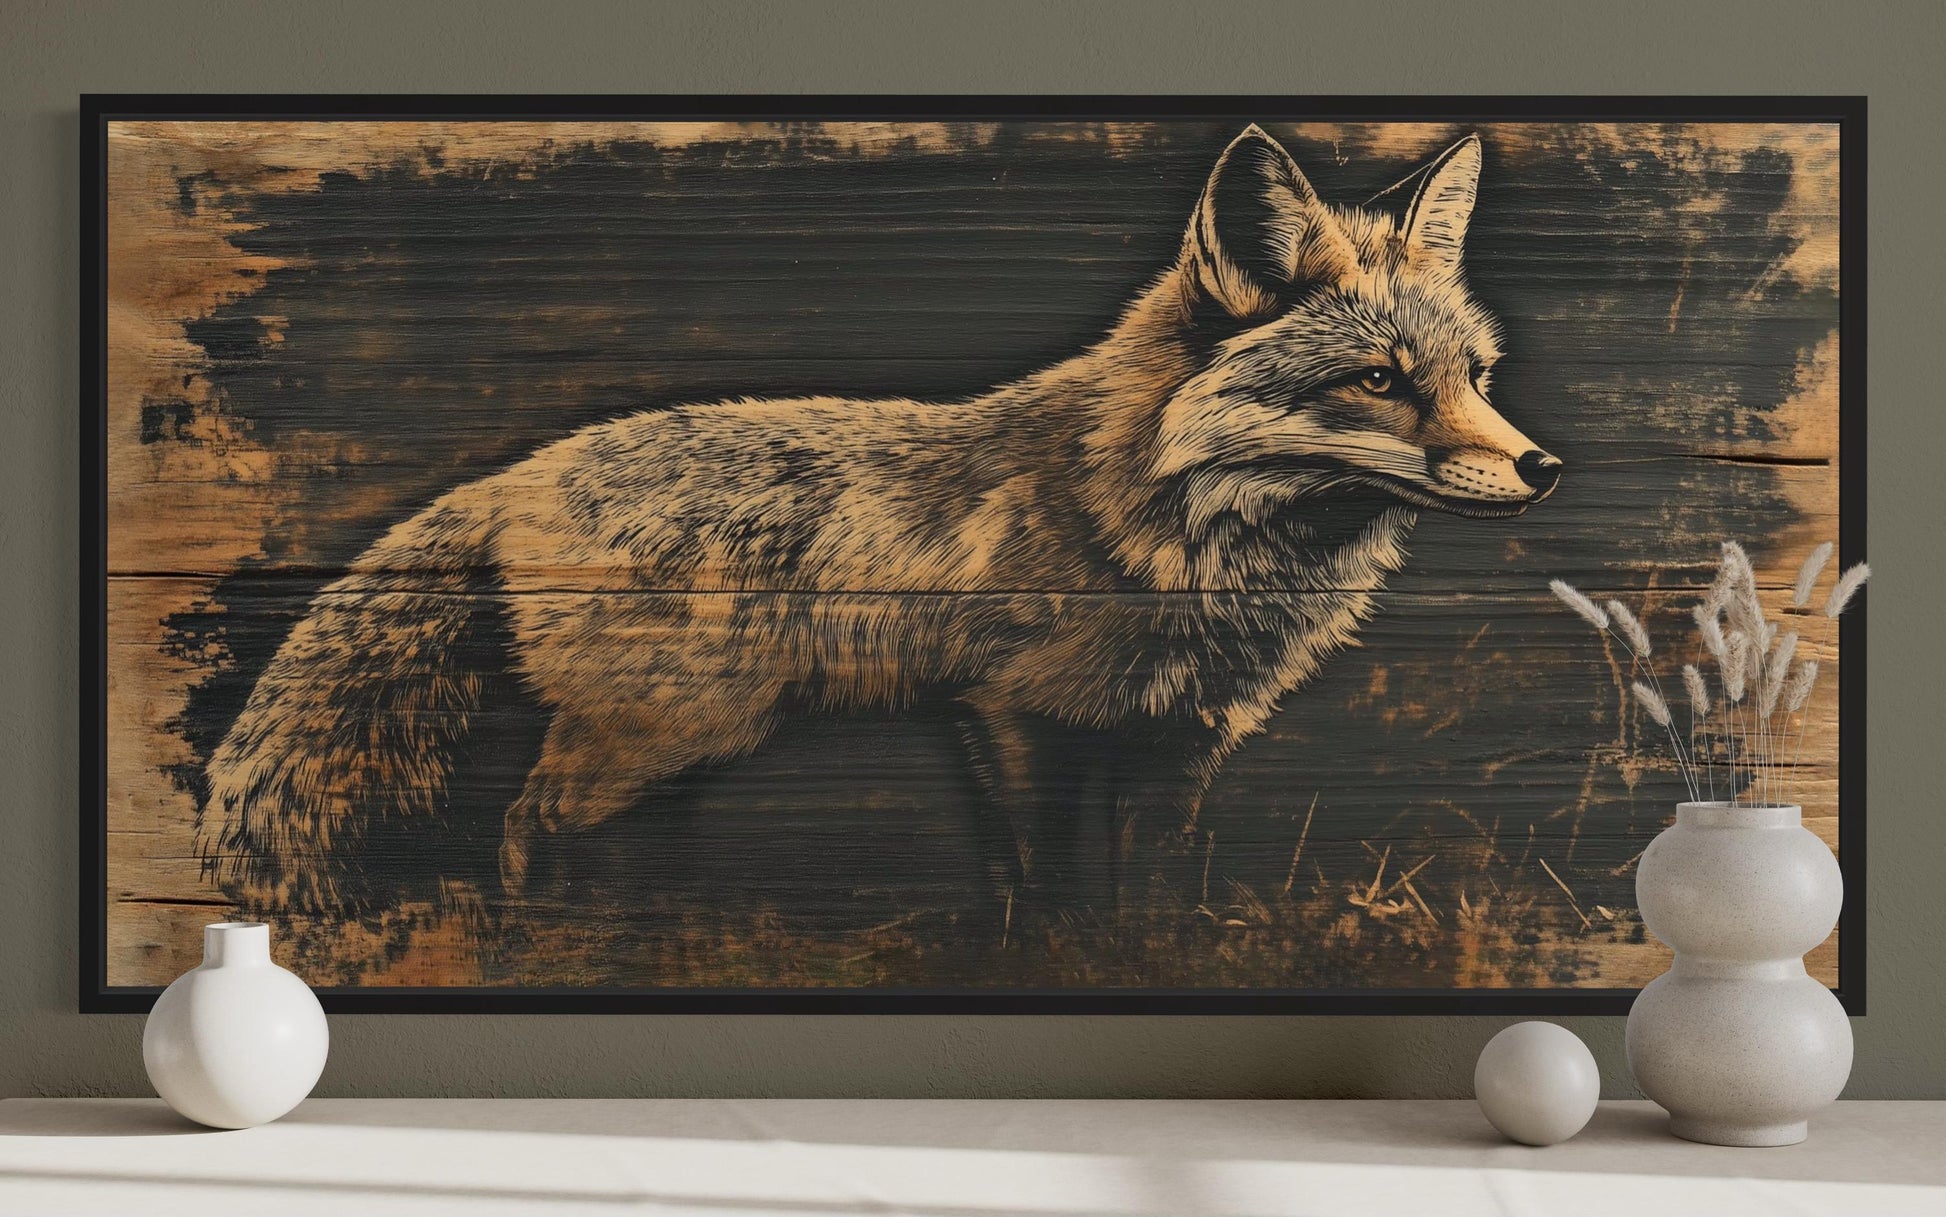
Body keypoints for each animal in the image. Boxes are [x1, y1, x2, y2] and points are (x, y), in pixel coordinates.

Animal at [199, 126, 1559, 940]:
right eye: (1377, 382)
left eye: (1475, 375)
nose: (1541, 468)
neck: (1172, 547)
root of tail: (521, 468)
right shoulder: (1011, 715)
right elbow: (1041, 889)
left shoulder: (1178, 739)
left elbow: (1147, 899)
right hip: (660, 732)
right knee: (525, 832)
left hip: (677, 754)